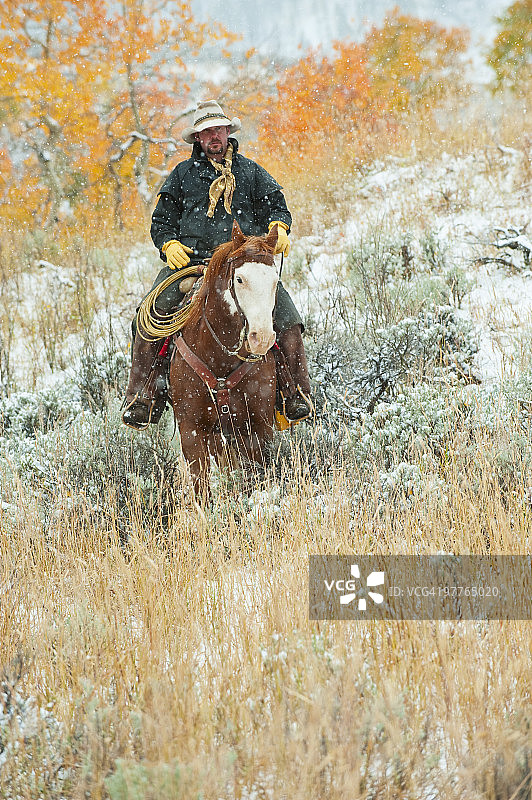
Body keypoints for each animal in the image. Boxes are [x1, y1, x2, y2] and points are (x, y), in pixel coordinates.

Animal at [168, 220, 280, 497]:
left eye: (275, 280)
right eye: (239, 279)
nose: (261, 338)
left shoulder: (258, 427)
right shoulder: (192, 431)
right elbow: (202, 490)